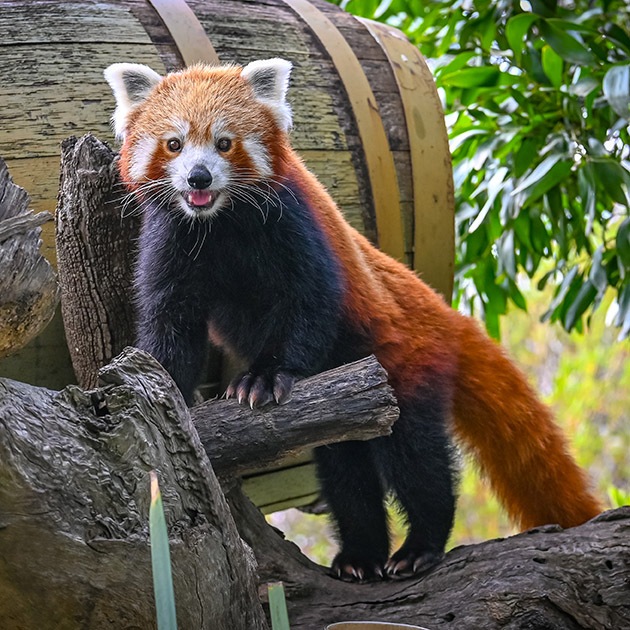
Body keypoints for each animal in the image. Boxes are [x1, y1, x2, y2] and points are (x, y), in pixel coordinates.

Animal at [106, 58, 604, 584]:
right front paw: (164, 388)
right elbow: (171, 323)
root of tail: (445, 314)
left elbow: (310, 301)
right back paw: (360, 556)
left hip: (406, 366)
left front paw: (261, 378)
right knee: (345, 470)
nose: (198, 178)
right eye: (174, 144)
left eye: (224, 143)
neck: (219, 223)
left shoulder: (293, 224)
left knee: (415, 459)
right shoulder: (172, 238)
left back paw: (421, 547)